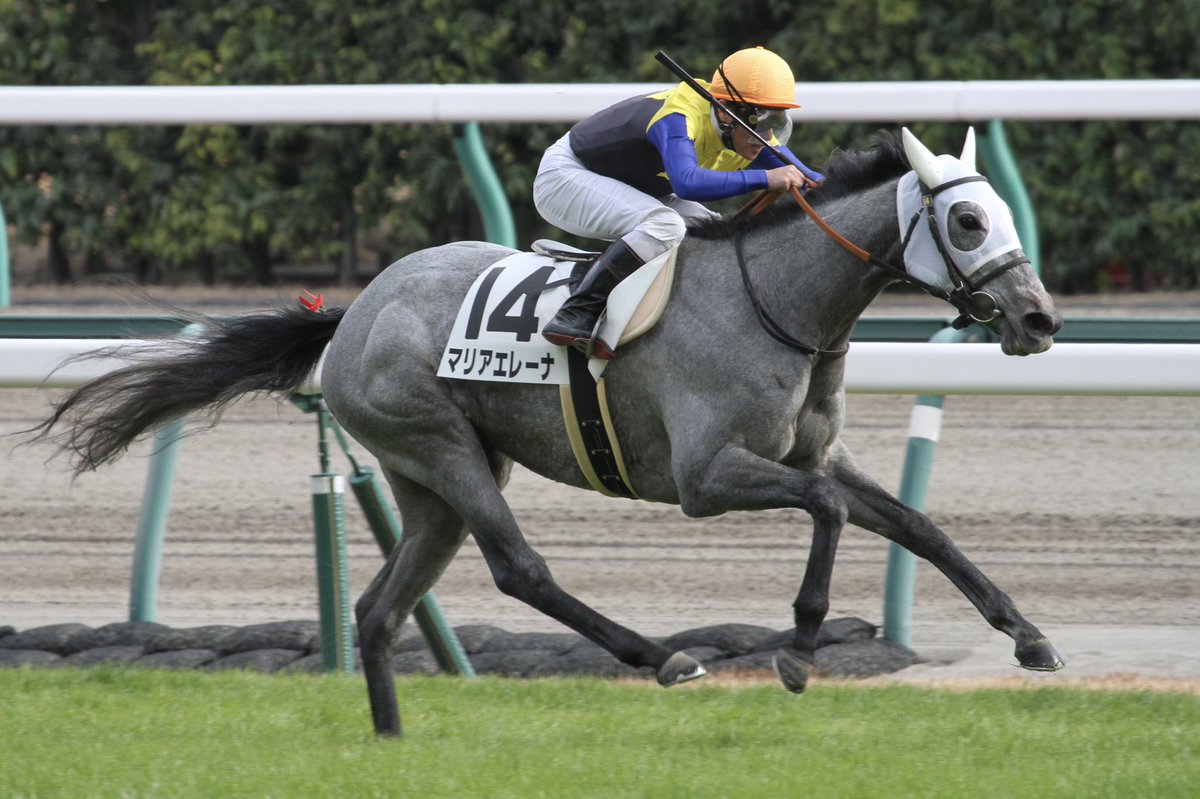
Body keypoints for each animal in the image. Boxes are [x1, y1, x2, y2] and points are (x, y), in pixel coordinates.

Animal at [31, 128, 1065, 737]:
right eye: (967, 220)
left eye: (999, 213)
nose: (1040, 319)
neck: (778, 302)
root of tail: (355, 308)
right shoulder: (704, 477)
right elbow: (826, 513)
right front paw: (801, 646)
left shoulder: (813, 451)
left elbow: (915, 525)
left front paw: (1029, 637)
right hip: (441, 446)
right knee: (518, 568)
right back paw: (664, 655)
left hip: (428, 483)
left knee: (378, 607)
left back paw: (391, 740)